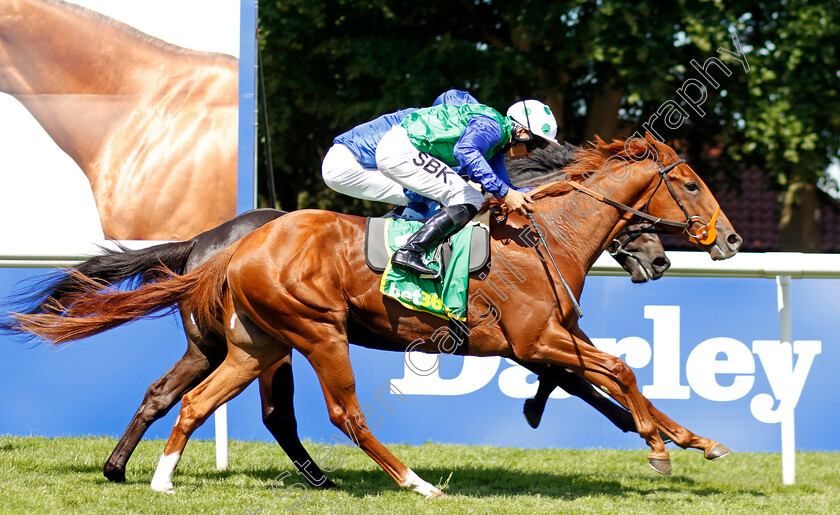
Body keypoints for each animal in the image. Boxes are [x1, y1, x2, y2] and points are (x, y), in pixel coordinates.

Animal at [8, 135, 740, 498]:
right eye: (690, 183)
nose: (729, 240)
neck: (540, 235)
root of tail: (225, 246)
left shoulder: (553, 335)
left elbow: (611, 376)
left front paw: (692, 438)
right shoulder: (535, 338)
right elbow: (616, 373)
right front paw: (657, 444)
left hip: (247, 344)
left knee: (182, 396)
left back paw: (141, 472)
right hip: (311, 334)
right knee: (326, 414)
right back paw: (411, 483)